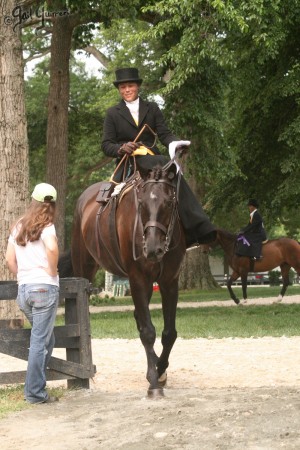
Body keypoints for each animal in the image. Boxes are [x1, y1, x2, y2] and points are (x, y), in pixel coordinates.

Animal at [63, 163, 185, 396]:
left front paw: (160, 370)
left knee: (140, 317)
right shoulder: (138, 279)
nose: (153, 249)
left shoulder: (169, 282)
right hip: (85, 267)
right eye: (141, 202)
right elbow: (148, 332)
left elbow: (169, 333)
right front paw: (154, 382)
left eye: (169, 201)